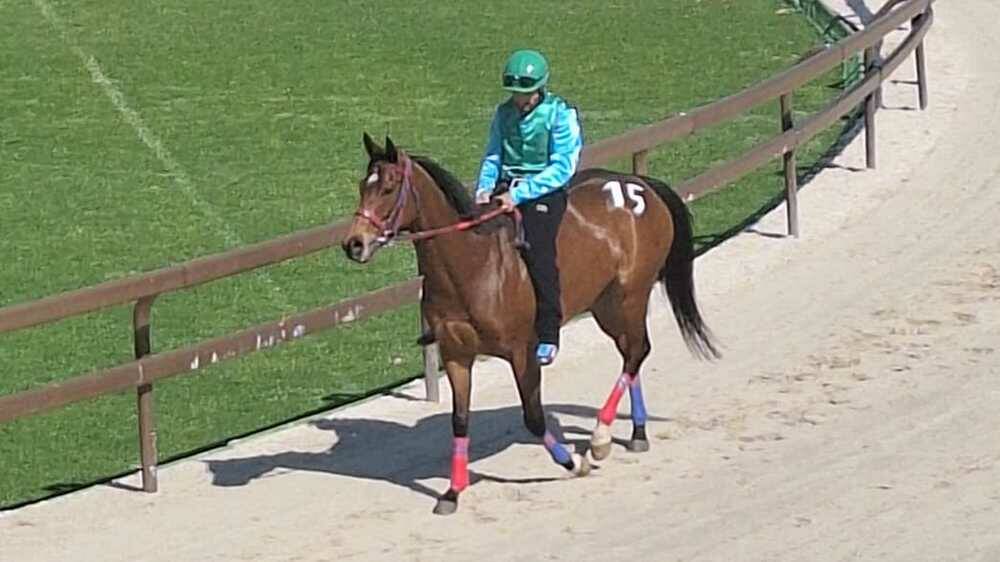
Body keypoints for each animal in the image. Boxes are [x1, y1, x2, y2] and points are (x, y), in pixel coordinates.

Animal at [344, 135, 720, 512]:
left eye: (389, 187)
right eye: (362, 185)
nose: (354, 244)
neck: (473, 265)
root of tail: (641, 186)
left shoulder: (523, 352)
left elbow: (534, 417)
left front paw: (574, 463)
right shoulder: (456, 354)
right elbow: (460, 421)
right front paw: (452, 492)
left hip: (631, 295)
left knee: (638, 351)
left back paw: (600, 437)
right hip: (606, 304)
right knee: (631, 353)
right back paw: (636, 432)